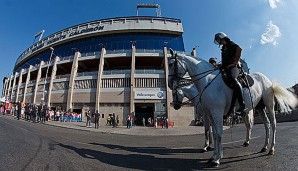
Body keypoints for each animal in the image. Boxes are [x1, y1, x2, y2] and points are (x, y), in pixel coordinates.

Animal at [168, 49, 298, 167]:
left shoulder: (216, 113)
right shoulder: (210, 114)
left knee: (273, 123)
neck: (208, 82)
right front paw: (213, 156)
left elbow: (217, 134)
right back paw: (264, 147)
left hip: (269, 105)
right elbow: (214, 134)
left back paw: (271, 149)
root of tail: (266, 79)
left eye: (170, 64)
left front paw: (217, 159)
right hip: (260, 108)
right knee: (266, 124)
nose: (169, 83)